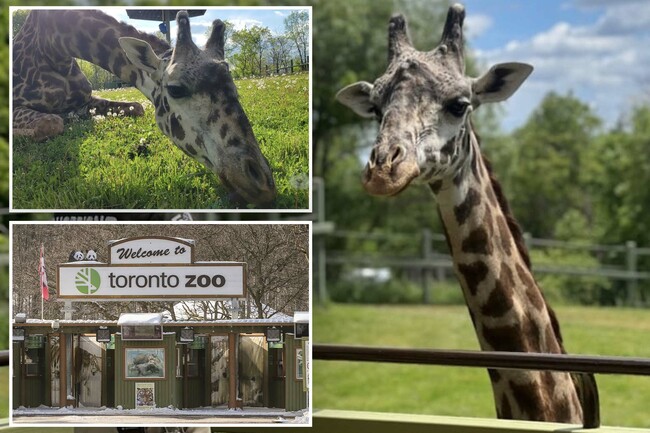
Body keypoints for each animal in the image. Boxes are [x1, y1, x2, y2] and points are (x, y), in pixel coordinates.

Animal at [12, 9, 275, 207]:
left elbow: (137, 107)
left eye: (234, 85)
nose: (262, 182)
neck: (54, 48)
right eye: (176, 89)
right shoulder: (16, 103)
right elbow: (51, 122)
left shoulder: (87, 100)